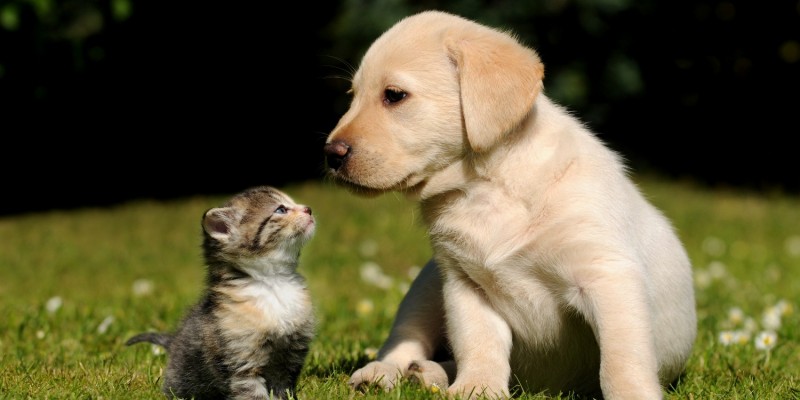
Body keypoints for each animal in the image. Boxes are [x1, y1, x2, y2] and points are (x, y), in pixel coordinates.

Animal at [126, 186, 316, 398]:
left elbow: (283, 390)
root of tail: (173, 341)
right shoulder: (241, 363)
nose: (308, 209)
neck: (273, 283)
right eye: (281, 210)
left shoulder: (289, 357)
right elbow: (253, 393)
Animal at [322, 9, 696, 400]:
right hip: (426, 286)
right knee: (405, 340)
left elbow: (621, 360)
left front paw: (632, 394)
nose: (330, 154)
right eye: (353, 95)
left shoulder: (607, 276)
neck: (486, 187)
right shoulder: (465, 284)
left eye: (394, 96)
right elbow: (479, 343)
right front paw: (477, 388)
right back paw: (390, 372)